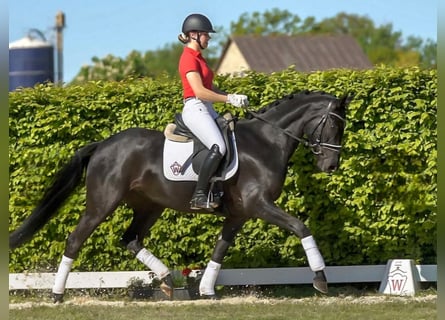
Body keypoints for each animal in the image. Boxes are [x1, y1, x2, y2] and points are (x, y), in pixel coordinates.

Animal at [7, 90, 350, 302]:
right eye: (333, 125)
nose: (331, 166)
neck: (266, 142)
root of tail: (103, 144)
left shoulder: (239, 213)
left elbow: (220, 249)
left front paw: (207, 289)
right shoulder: (260, 205)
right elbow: (301, 227)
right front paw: (321, 279)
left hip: (149, 205)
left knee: (130, 238)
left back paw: (167, 280)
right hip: (102, 202)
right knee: (75, 240)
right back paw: (57, 294)